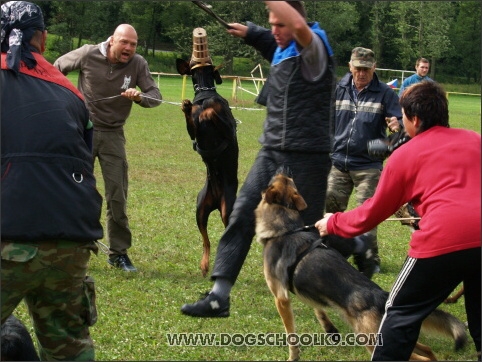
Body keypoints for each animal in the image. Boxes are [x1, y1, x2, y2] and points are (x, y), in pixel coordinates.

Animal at [176, 57, 238, 278]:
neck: (205, 95)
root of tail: (216, 200)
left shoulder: (228, 129)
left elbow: (213, 112)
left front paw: (208, 110)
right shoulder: (193, 133)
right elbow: (192, 124)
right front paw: (186, 106)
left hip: (227, 209)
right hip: (200, 210)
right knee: (206, 241)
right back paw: (204, 264)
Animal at [256, 171, 466, 360]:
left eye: (273, 181)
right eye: (288, 181)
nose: (285, 169)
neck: (286, 228)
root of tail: (382, 297)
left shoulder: (281, 298)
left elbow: (291, 335)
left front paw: (294, 356)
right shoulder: (305, 291)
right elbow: (318, 309)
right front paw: (330, 330)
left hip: (372, 342)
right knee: (427, 351)